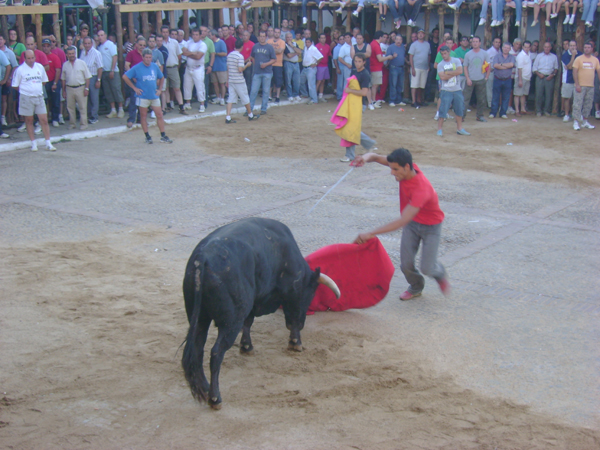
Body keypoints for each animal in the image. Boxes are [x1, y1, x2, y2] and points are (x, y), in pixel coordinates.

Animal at [183, 216, 340, 410]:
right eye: (310, 294)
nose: (304, 322)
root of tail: (202, 258)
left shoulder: (253, 301)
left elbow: (248, 322)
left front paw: (246, 346)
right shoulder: (290, 293)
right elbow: (291, 319)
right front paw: (295, 342)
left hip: (199, 318)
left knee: (198, 350)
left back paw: (205, 389)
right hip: (230, 321)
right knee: (216, 353)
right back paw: (215, 398)